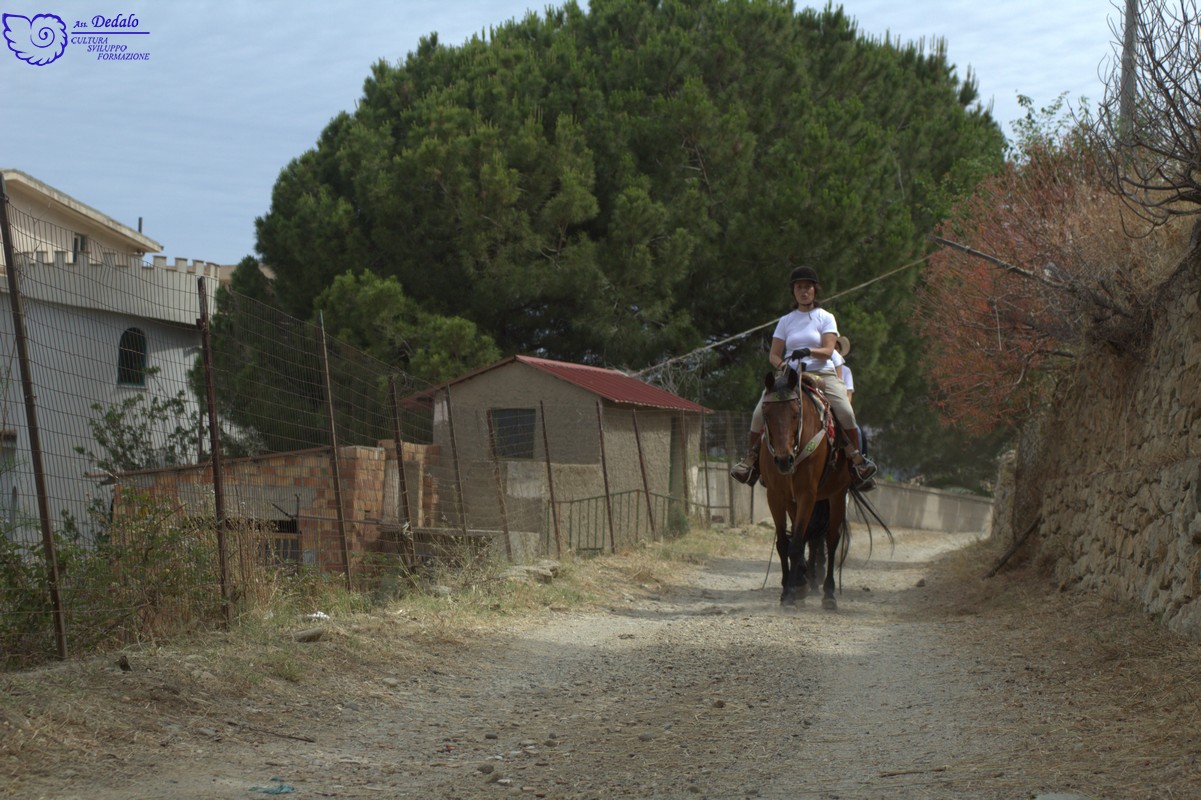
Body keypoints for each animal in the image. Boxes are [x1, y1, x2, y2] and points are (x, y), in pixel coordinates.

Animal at [759, 365, 855, 605]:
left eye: (795, 413)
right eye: (766, 414)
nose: (784, 460)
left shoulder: (807, 494)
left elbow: (796, 545)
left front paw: (790, 595)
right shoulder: (776, 495)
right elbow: (785, 543)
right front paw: (790, 587)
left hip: (837, 494)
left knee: (831, 539)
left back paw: (828, 593)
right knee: (806, 537)